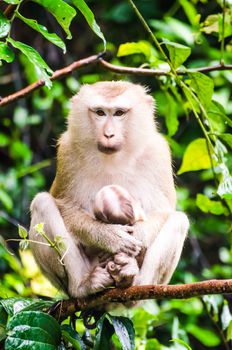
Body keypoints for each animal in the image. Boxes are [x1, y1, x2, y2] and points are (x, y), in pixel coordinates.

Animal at [29, 80, 189, 300]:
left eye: (119, 113)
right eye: (100, 112)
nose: (108, 134)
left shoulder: (157, 153)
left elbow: (163, 210)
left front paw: (138, 234)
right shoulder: (68, 151)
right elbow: (64, 205)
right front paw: (110, 237)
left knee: (179, 220)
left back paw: (132, 279)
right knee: (42, 203)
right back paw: (83, 286)